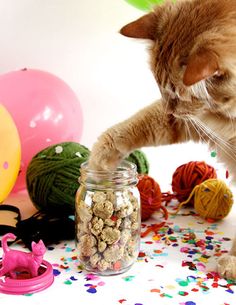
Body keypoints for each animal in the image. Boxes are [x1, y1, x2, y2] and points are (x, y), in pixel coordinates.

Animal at [88, 0, 236, 278]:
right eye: (159, 86)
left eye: (177, 94)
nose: (169, 108)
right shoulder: (193, 122)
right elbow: (122, 132)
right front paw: (99, 166)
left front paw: (232, 262)